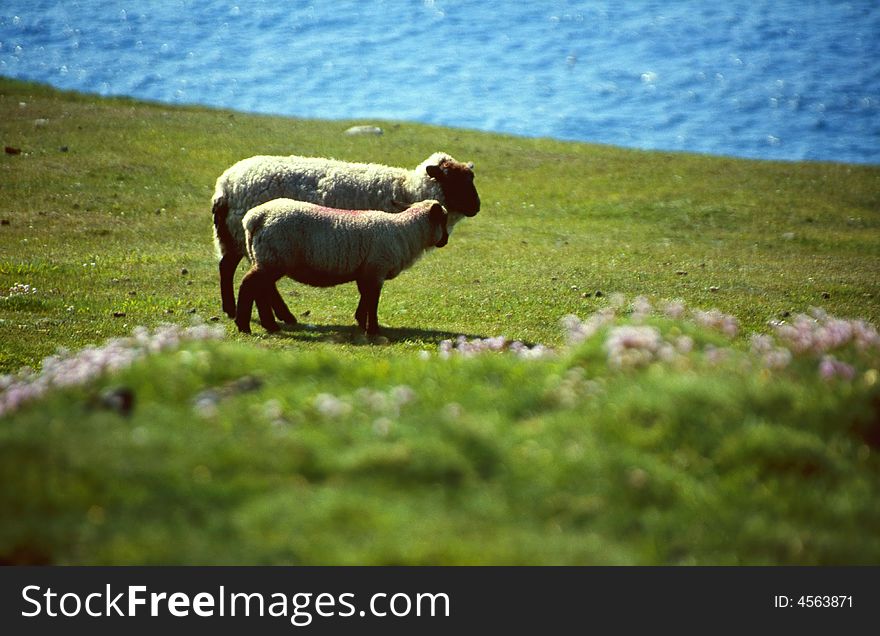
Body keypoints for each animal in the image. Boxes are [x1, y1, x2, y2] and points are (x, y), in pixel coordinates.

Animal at [212, 153, 478, 322]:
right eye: (452, 179)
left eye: (470, 179)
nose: (476, 207)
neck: (407, 190)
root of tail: (225, 185)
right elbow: (368, 291)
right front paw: (362, 319)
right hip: (254, 240)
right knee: (246, 275)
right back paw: (266, 314)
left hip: (237, 239)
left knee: (231, 268)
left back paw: (245, 312)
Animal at [235, 200, 450, 338]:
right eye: (444, 219)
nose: (445, 241)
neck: (405, 231)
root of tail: (255, 218)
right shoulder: (377, 268)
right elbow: (373, 300)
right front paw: (373, 330)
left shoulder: (366, 271)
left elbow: (365, 297)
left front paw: (361, 322)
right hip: (274, 257)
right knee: (249, 285)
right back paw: (244, 326)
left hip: (266, 258)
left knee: (262, 289)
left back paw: (270, 325)